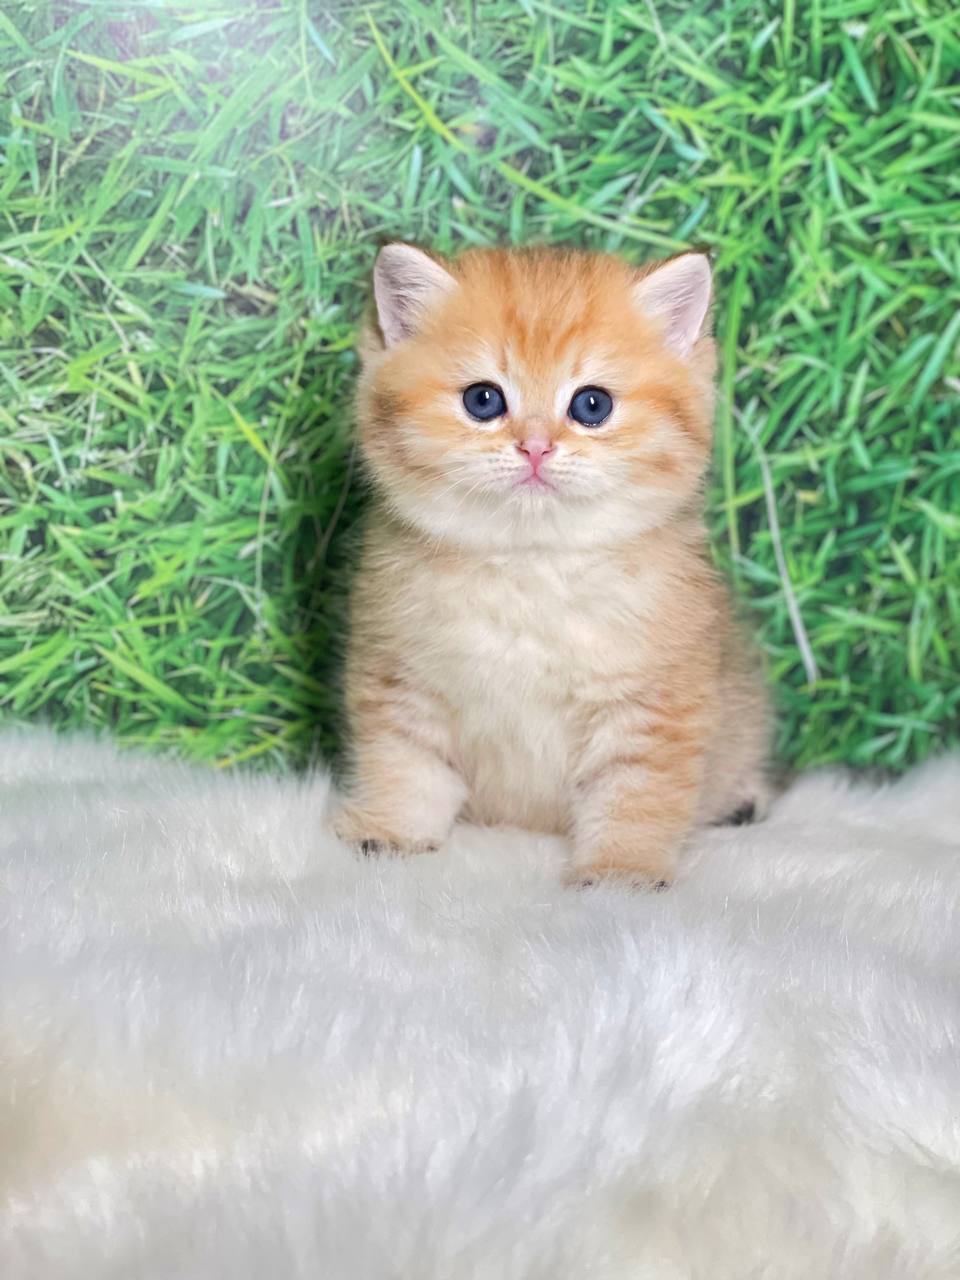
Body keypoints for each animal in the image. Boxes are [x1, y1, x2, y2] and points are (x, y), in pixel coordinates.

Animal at [334, 243, 770, 885]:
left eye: (592, 404)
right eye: (483, 400)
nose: (536, 447)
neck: (529, 567)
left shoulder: (652, 706)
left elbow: (635, 795)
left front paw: (620, 871)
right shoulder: (403, 682)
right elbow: (404, 767)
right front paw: (391, 830)